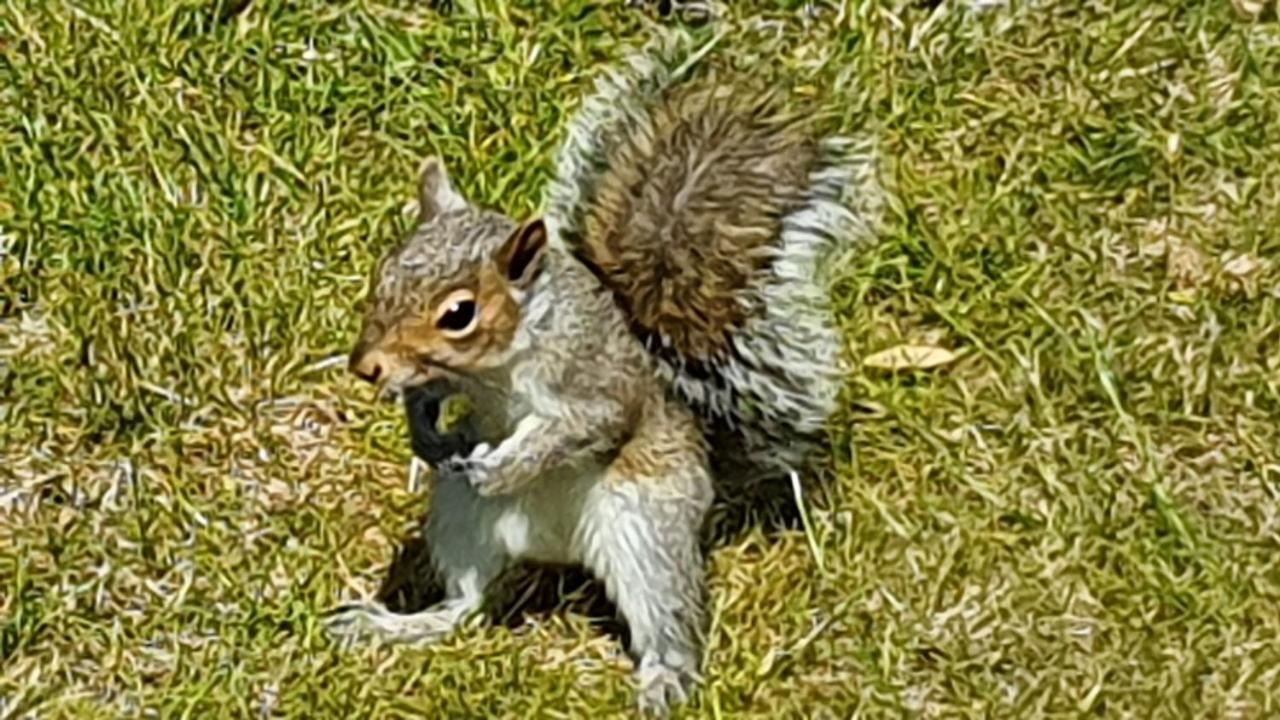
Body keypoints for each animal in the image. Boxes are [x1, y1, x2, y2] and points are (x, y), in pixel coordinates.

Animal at [325, 30, 880, 712]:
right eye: (385, 270)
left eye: (459, 314)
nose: (366, 366)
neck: (504, 362)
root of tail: (556, 549)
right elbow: (426, 396)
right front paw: (429, 437)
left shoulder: (595, 382)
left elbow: (583, 426)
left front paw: (506, 466)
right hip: (462, 521)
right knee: (468, 605)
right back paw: (399, 624)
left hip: (645, 530)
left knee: (666, 615)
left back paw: (667, 676)